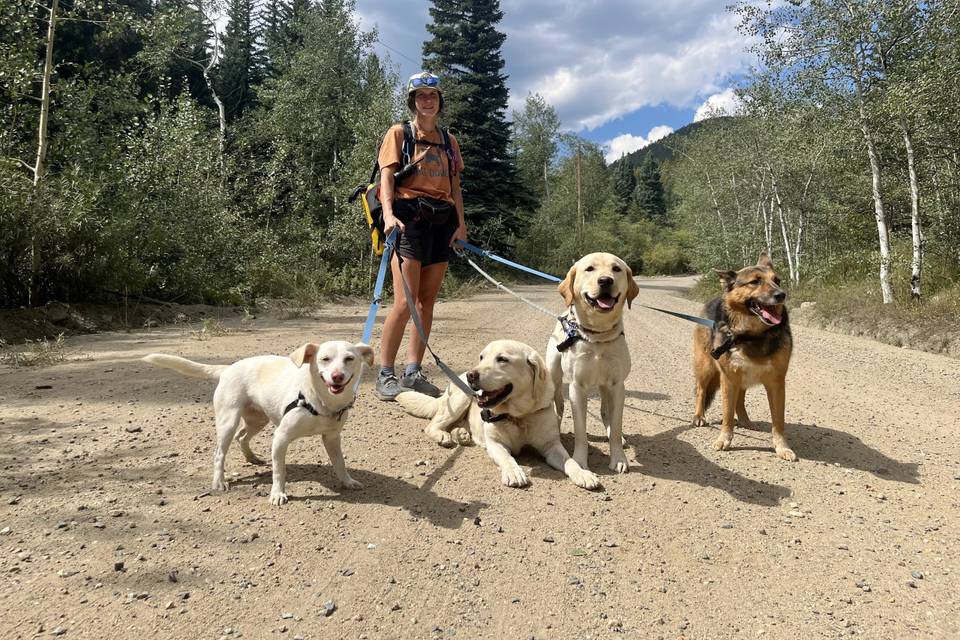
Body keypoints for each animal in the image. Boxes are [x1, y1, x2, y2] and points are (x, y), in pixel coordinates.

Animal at [144, 340, 374, 504]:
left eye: (349, 358)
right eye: (325, 359)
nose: (337, 376)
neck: (320, 401)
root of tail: (227, 369)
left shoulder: (332, 438)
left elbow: (340, 463)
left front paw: (347, 481)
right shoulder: (280, 438)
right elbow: (279, 470)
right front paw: (278, 494)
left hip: (258, 420)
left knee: (242, 436)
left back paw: (251, 457)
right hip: (228, 421)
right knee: (219, 453)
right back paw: (219, 482)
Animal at [394, 340, 596, 490]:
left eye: (502, 359)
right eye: (482, 357)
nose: (471, 375)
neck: (519, 416)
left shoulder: (551, 446)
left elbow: (570, 461)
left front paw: (584, 474)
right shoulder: (495, 444)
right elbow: (508, 458)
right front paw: (514, 472)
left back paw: (462, 434)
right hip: (461, 399)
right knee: (432, 425)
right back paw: (443, 435)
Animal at [548, 252, 636, 472]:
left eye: (616, 269)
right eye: (589, 269)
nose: (605, 281)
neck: (597, 336)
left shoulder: (617, 385)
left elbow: (616, 424)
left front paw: (618, 458)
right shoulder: (577, 387)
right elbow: (580, 431)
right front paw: (580, 462)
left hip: (605, 387)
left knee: (605, 412)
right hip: (554, 376)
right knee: (559, 406)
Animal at [688, 254, 796, 460]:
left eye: (777, 280)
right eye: (755, 282)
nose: (782, 294)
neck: (750, 335)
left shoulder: (777, 383)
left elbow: (778, 421)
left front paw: (782, 447)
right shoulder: (728, 379)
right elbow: (727, 415)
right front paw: (724, 440)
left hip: (743, 378)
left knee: (740, 400)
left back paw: (746, 421)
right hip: (706, 368)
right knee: (700, 390)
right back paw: (699, 416)